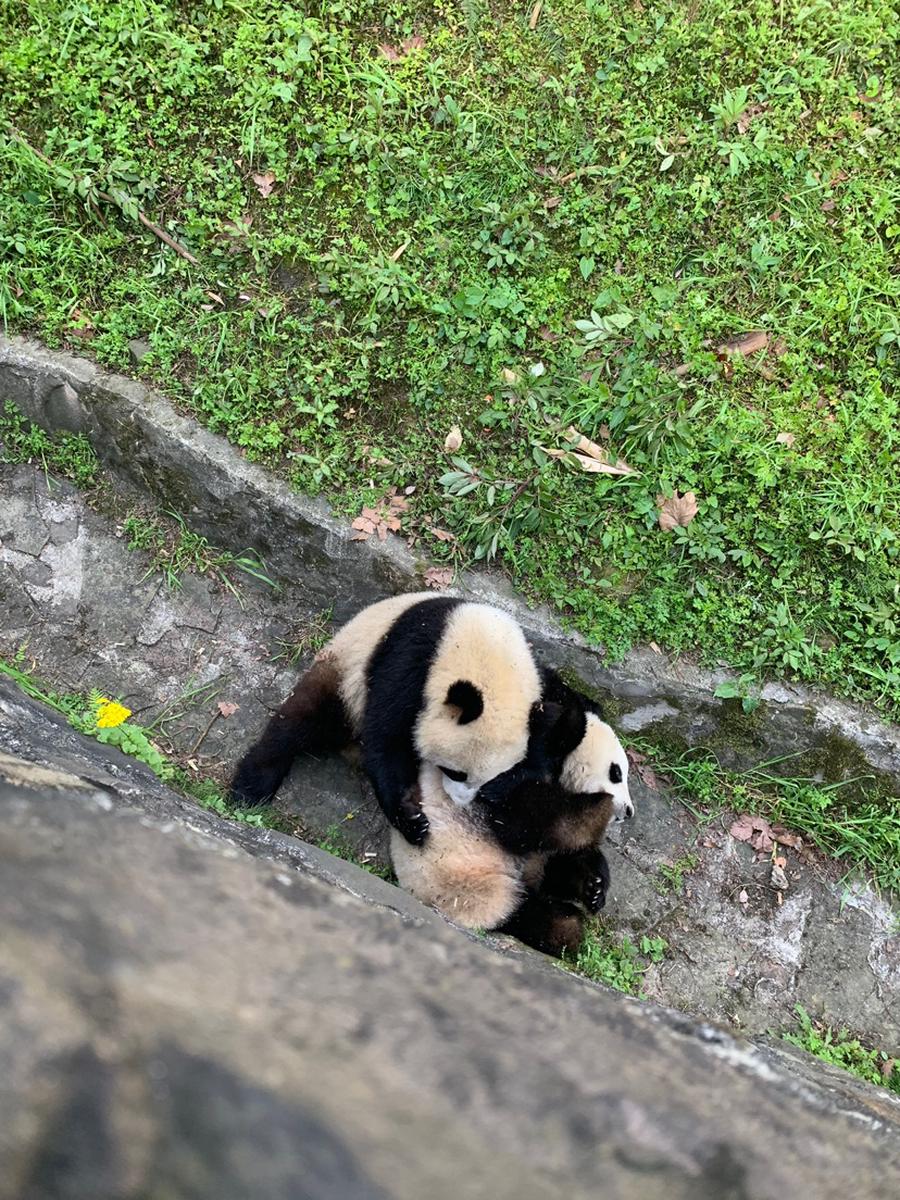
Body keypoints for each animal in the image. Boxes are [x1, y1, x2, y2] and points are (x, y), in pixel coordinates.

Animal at [231, 593, 543, 844]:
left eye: (492, 777)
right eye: (455, 772)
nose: (460, 802)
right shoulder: (414, 656)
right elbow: (387, 737)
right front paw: (412, 820)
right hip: (345, 675)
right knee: (300, 721)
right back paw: (251, 786)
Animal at [390, 675, 632, 957]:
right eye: (616, 773)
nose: (628, 811)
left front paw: (595, 887)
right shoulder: (494, 782)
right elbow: (523, 823)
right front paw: (601, 806)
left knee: (553, 870)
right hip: (472, 889)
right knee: (530, 914)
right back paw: (564, 927)